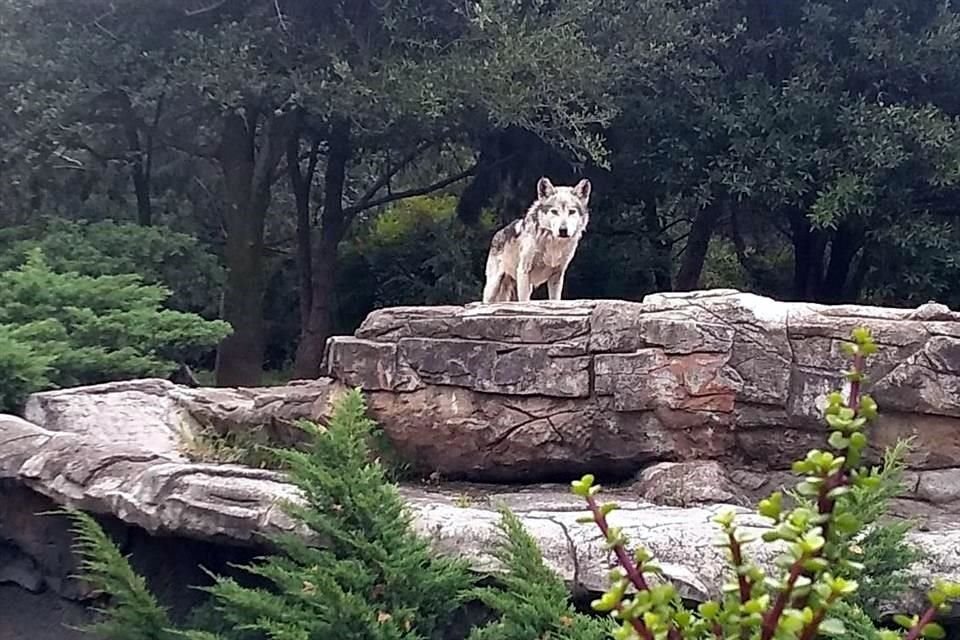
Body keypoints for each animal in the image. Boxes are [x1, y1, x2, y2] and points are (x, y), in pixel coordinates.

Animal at [484, 176, 588, 304]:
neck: (553, 244)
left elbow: (555, 300)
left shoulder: (557, 275)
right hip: (493, 287)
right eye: (554, 211)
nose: (563, 230)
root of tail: (497, 234)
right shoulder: (523, 271)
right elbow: (524, 302)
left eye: (572, 211)